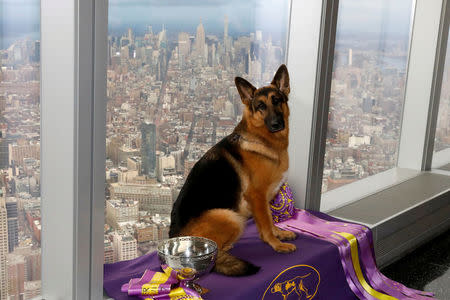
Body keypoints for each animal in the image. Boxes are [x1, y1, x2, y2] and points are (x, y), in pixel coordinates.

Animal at [169, 65, 296, 276]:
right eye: (260, 106)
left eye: (277, 100)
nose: (276, 124)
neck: (262, 139)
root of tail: (174, 238)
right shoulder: (257, 195)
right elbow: (266, 223)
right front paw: (275, 243)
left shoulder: (265, 198)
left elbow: (270, 219)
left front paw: (279, 233)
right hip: (231, 217)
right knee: (215, 250)